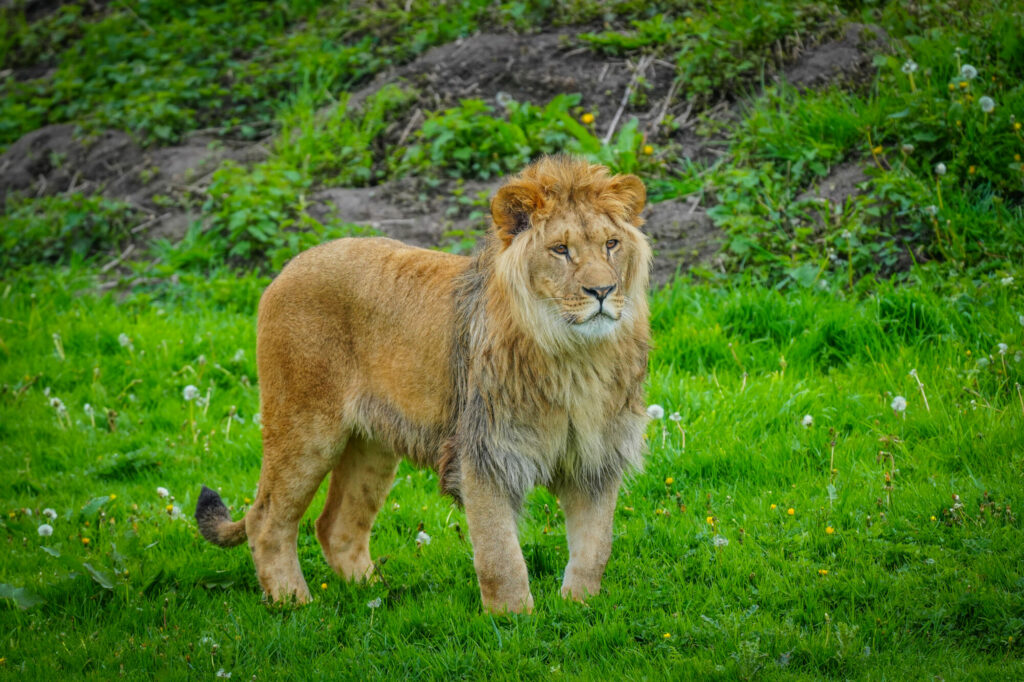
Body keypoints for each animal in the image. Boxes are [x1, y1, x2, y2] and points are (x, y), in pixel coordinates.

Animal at [195, 155, 652, 614]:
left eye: (611, 244)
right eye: (560, 250)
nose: (602, 290)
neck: (575, 357)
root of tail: (289, 266)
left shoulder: (597, 458)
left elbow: (595, 548)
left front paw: (580, 608)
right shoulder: (484, 455)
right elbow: (500, 555)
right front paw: (514, 619)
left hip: (372, 447)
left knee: (335, 525)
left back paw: (377, 595)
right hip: (304, 428)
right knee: (266, 519)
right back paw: (295, 603)